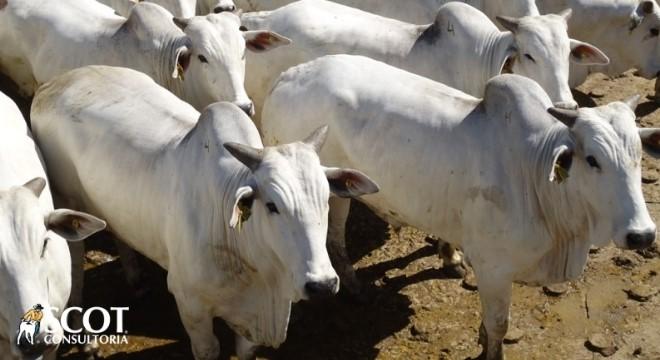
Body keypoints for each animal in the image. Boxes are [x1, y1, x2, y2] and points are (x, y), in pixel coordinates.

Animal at [31, 66, 378, 358]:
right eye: (272, 206)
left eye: (326, 200)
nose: (322, 285)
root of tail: (52, 85)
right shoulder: (191, 305)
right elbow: (208, 349)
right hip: (69, 206)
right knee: (76, 269)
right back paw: (85, 337)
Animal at [262, 53, 660, 360]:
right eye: (592, 159)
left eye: (639, 156)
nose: (641, 235)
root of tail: (287, 77)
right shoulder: (493, 267)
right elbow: (499, 325)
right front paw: (489, 349)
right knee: (334, 238)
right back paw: (355, 287)